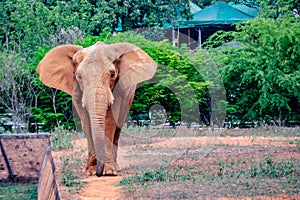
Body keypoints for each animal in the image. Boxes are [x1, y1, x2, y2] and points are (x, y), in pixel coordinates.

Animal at [36, 41, 157, 176]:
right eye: (79, 76)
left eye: (112, 74)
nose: (99, 173)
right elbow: (87, 122)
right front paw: (90, 171)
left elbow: (110, 121)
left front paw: (109, 172)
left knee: (118, 127)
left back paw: (116, 168)